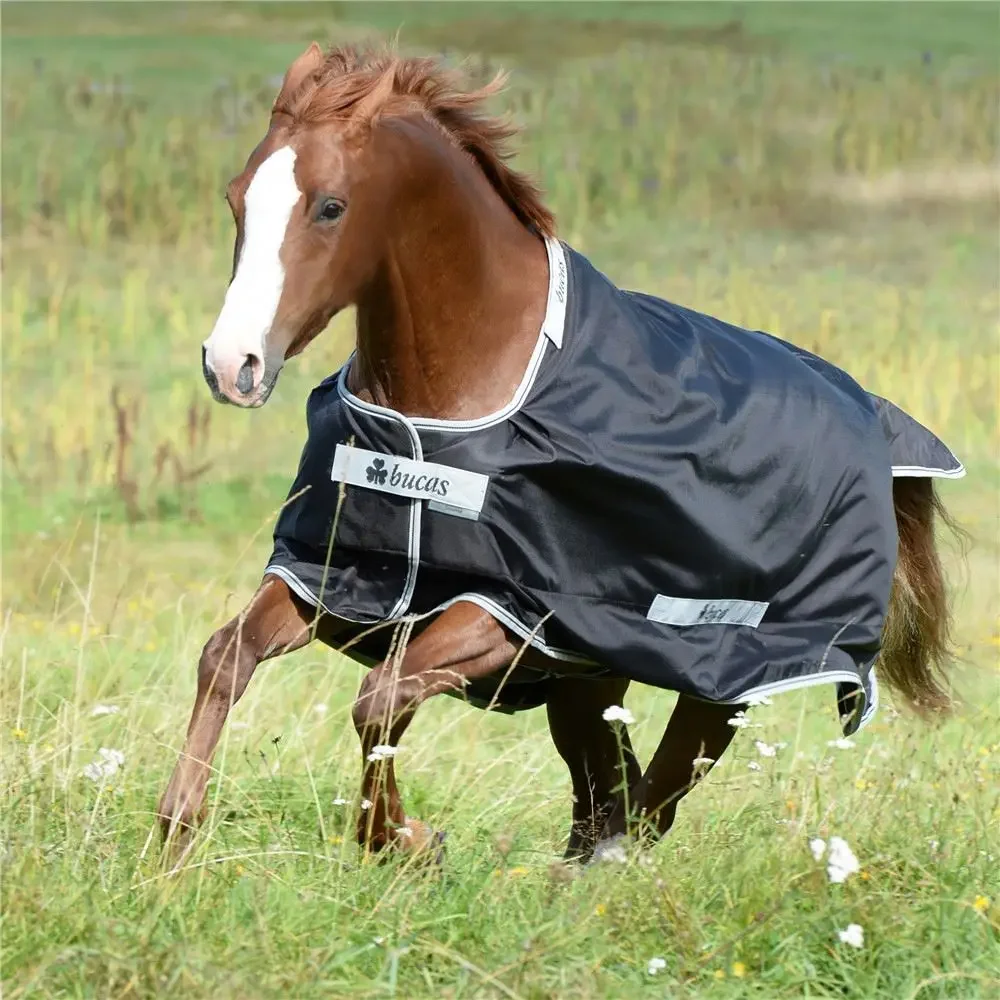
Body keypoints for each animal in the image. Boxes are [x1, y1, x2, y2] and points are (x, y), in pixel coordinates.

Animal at [157, 43, 965, 865]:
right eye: (235, 200)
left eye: (330, 206)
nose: (232, 364)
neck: (446, 403)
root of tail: (873, 421)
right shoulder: (338, 576)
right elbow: (226, 655)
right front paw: (175, 834)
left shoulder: (514, 613)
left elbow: (380, 696)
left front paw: (405, 839)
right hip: (590, 685)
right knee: (607, 797)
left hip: (720, 678)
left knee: (648, 802)